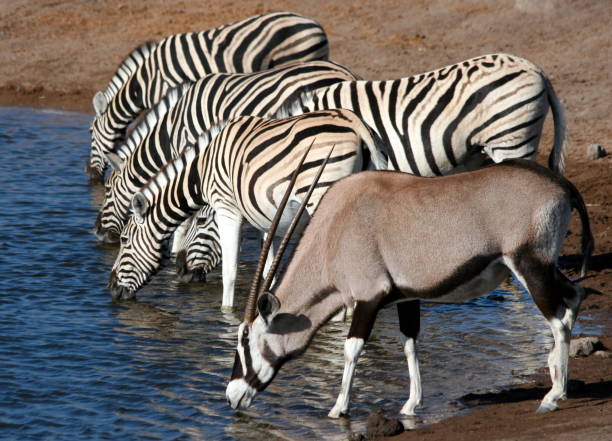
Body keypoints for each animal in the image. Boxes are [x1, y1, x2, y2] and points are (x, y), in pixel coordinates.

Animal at [107, 109, 384, 310]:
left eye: (124, 240)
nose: (110, 289)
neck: (202, 171)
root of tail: (354, 121)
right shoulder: (269, 218)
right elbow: (269, 273)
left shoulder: (226, 208)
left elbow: (229, 272)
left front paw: (227, 315)